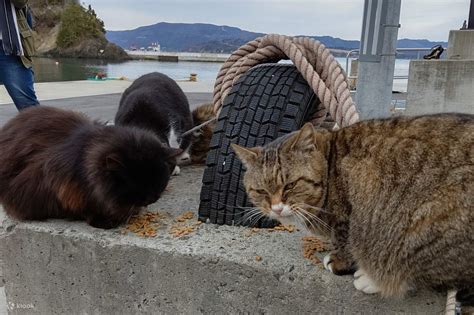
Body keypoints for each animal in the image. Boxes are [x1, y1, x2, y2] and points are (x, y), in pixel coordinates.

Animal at [233, 113, 474, 298]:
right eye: (262, 191)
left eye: (290, 185)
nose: (276, 208)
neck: (330, 163)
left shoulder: (348, 211)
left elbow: (346, 241)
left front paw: (339, 262)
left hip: (425, 225)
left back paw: (374, 280)